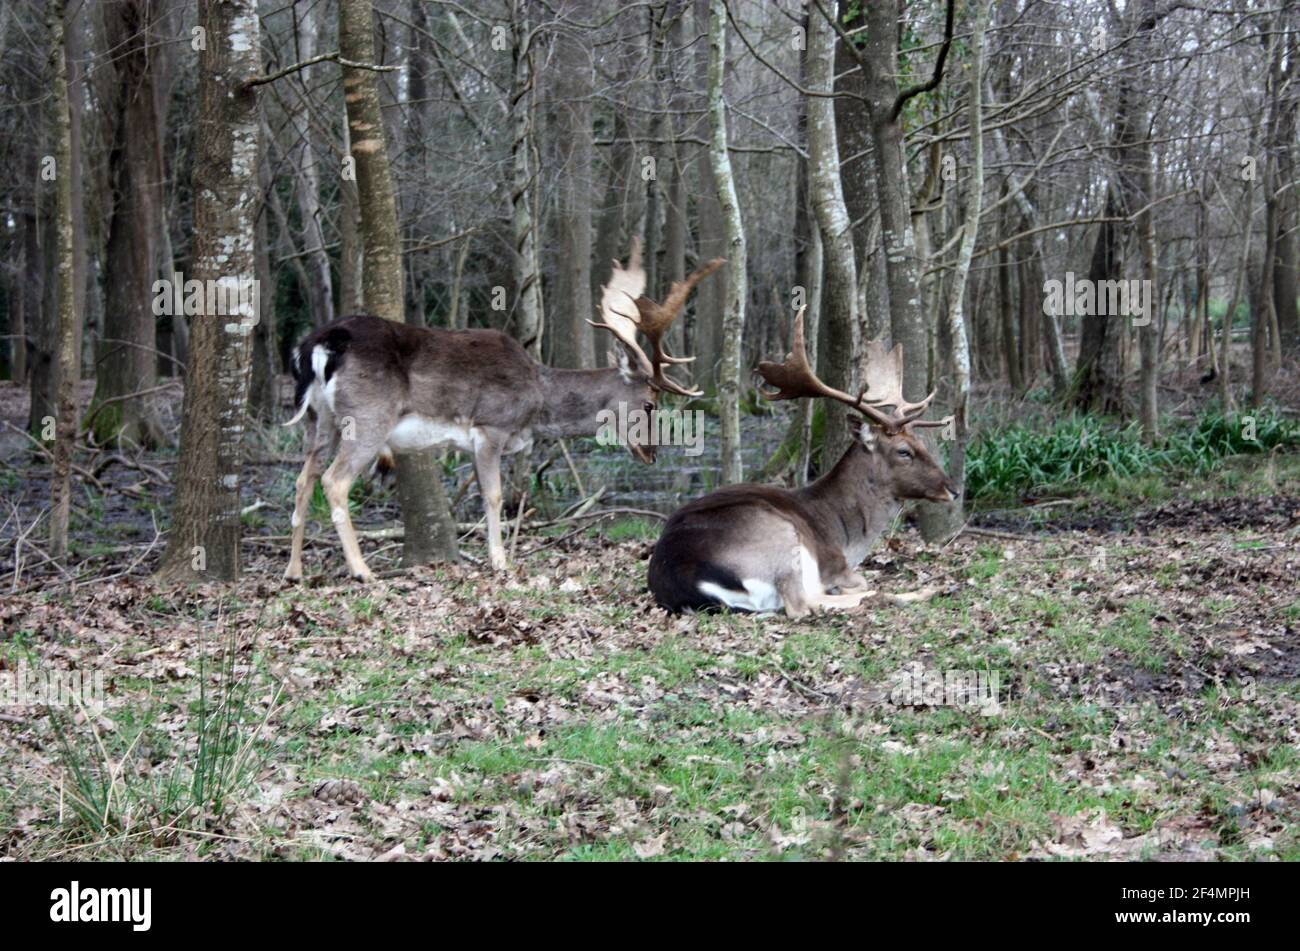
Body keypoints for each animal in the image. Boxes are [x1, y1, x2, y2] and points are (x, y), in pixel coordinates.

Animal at [283, 237, 722, 579]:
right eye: (649, 403)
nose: (652, 452)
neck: (536, 402)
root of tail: (315, 346)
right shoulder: (490, 426)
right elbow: (493, 496)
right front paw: (499, 561)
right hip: (368, 417)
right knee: (333, 481)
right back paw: (362, 571)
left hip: (318, 419)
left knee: (303, 479)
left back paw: (294, 571)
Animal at [650, 306, 956, 615]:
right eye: (904, 451)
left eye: (921, 443)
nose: (952, 488)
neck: (847, 536)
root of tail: (690, 582)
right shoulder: (833, 563)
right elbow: (858, 582)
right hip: (776, 535)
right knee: (802, 603)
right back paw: (925, 590)